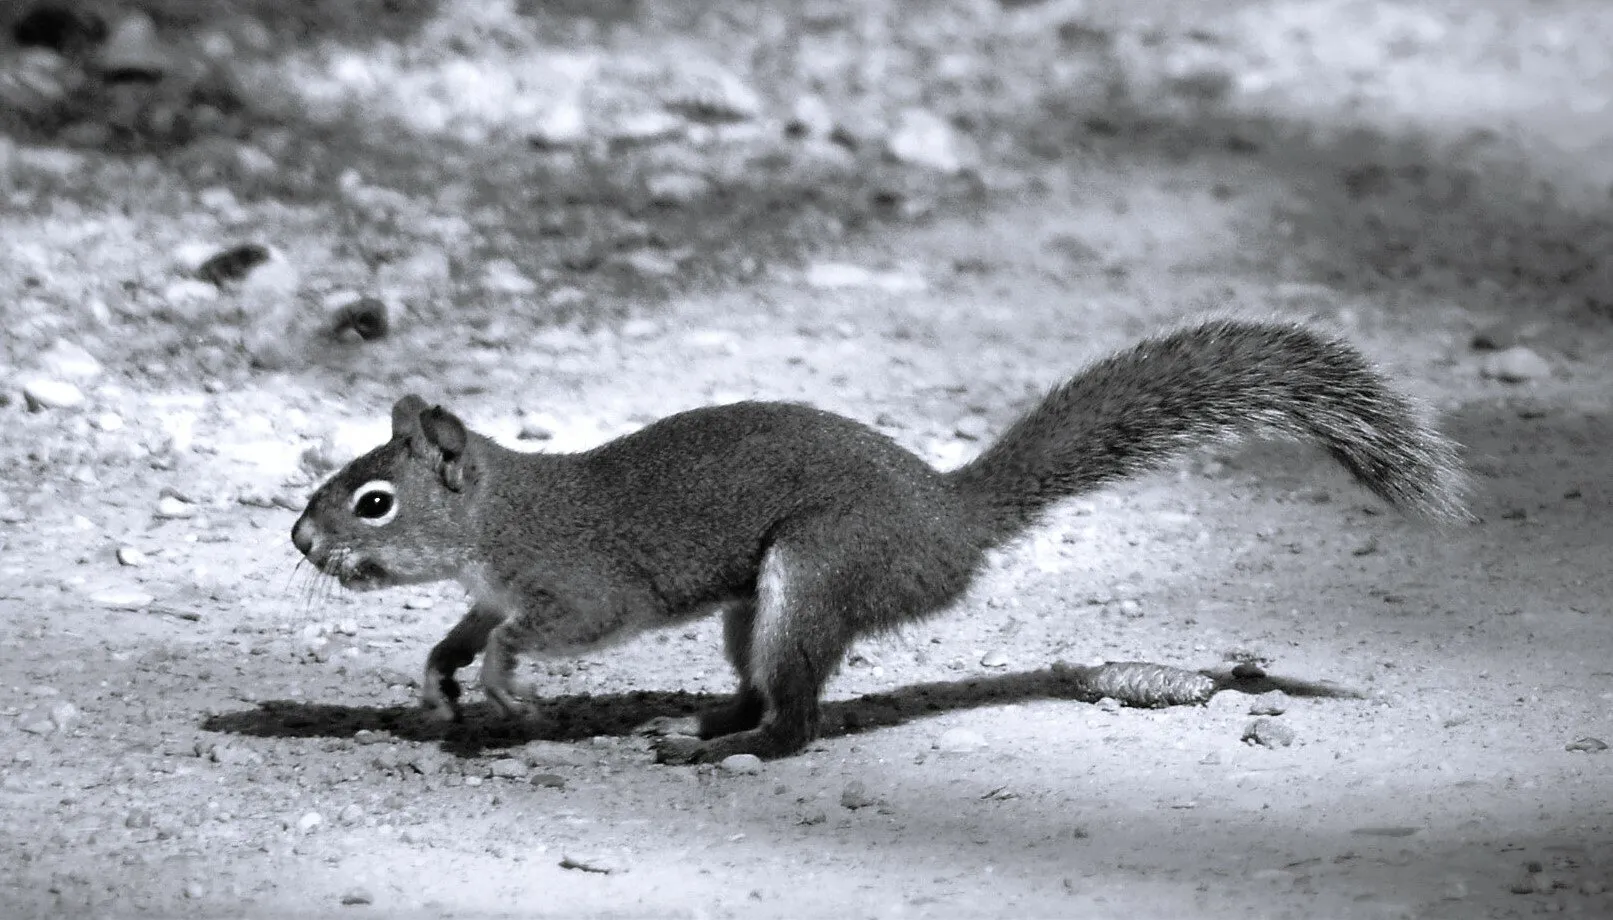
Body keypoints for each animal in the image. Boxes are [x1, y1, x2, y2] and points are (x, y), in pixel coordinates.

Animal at [291, 319, 1471, 763]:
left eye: (373, 500)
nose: (298, 536)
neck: (496, 519)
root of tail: (947, 515)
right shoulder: (490, 587)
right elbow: (458, 631)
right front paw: (440, 679)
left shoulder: (580, 586)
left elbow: (547, 629)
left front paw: (503, 687)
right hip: (750, 608)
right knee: (765, 693)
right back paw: (701, 714)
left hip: (812, 572)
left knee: (794, 722)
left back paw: (711, 746)